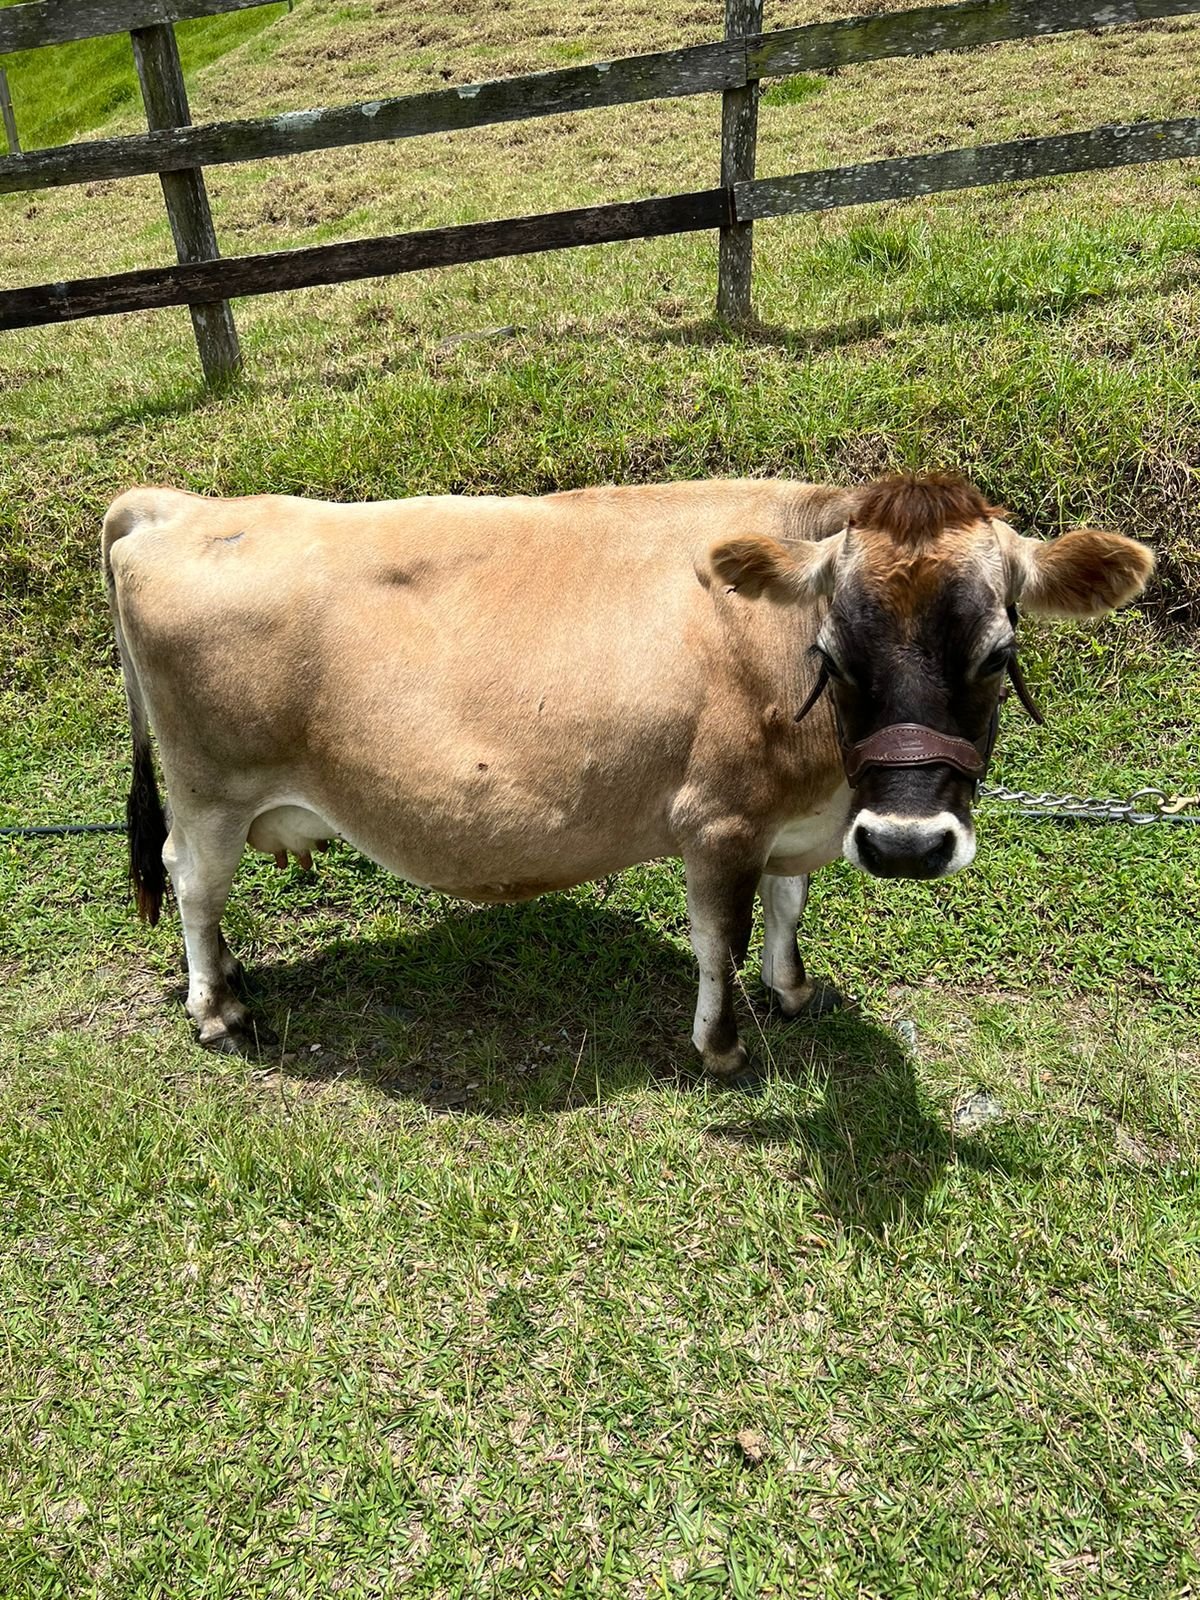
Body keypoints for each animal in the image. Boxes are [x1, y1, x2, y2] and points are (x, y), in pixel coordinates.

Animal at [102, 474, 1152, 1076]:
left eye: (996, 652)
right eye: (832, 653)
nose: (905, 844)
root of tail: (180, 508)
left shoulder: (796, 821)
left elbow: (789, 907)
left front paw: (793, 990)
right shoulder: (718, 819)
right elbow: (721, 937)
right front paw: (722, 1048)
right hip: (211, 791)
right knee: (192, 882)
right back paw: (218, 1008)